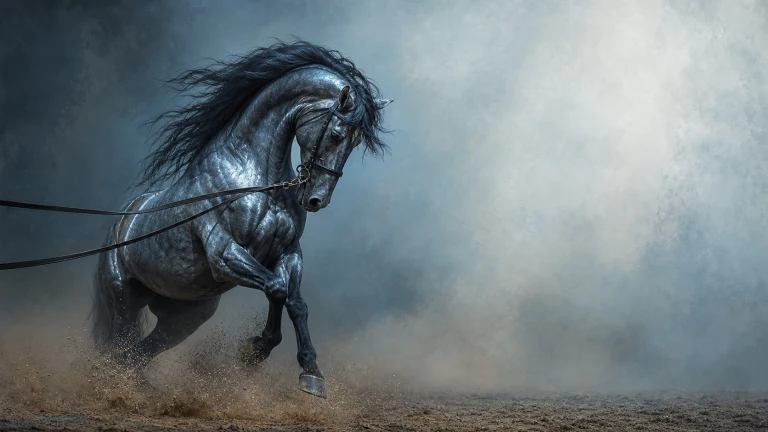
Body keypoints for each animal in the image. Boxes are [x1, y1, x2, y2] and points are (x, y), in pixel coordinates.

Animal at [89, 40, 392, 399]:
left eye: (356, 141)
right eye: (335, 134)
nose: (317, 200)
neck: (253, 178)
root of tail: (121, 222)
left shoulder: (287, 253)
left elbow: (294, 301)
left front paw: (309, 373)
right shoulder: (226, 254)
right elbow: (276, 289)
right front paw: (255, 351)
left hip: (185, 317)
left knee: (136, 356)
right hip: (124, 301)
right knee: (119, 351)